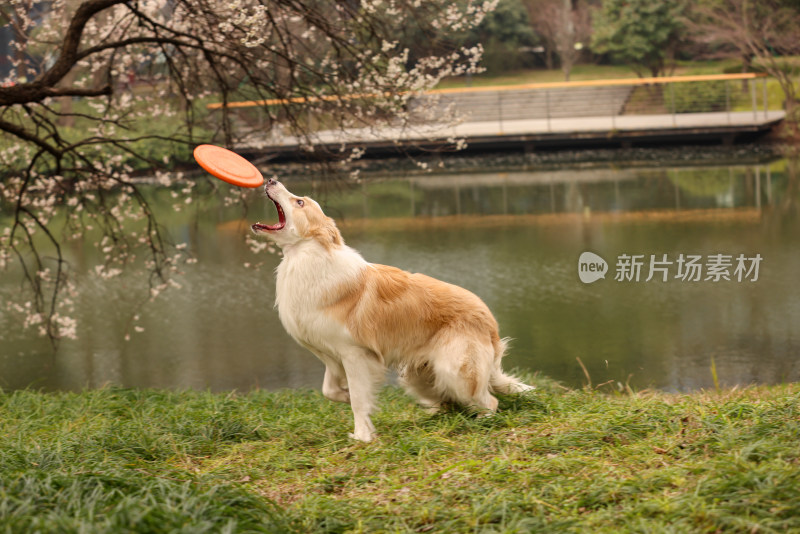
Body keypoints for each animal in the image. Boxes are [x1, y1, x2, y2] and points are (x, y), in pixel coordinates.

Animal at [253, 180, 536, 444]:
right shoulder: (332, 356)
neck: (307, 256)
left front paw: (363, 436)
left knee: (488, 402)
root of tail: (490, 323)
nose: (270, 180)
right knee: (451, 402)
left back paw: (480, 422)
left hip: (453, 369)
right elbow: (329, 391)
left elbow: (359, 399)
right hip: (415, 377)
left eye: (299, 202)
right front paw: (346, 398)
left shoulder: (354, 354)